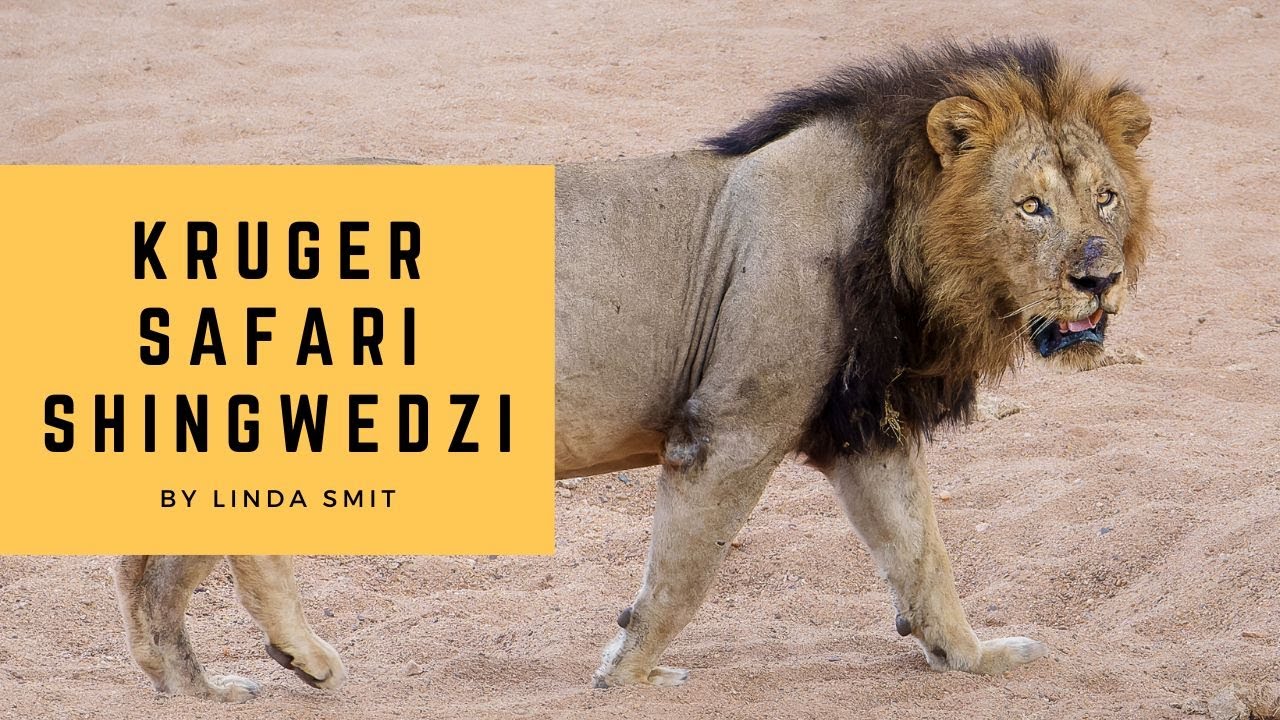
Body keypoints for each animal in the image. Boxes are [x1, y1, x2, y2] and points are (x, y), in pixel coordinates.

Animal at [115, 37, 1152, 698]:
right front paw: (632, 672)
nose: (1097, 278)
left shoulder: (865, 426)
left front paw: (975, 658)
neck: (905, 240)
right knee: (218, 549)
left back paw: (197, 684)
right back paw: (283, 665)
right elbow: (686, 574)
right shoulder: (729, 429)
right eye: (1029, 207)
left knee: (151, 569)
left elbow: (924, 556)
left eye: (1103, 196)